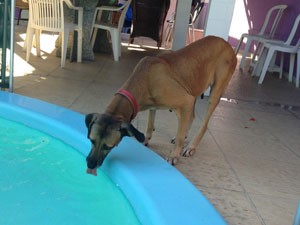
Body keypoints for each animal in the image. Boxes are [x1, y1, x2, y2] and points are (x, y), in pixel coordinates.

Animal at [85, 35, 237, 176]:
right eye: (91, 140)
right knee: (191, 117)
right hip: (191, 88)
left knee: (203, 124)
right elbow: (150, 125)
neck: (143, 79)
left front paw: (174, 155)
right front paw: (145, 139)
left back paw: (191, 146)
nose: (90, 164)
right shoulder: (157, 105)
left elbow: (179, 137)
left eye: (108, 146)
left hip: (214, 93)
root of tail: (226, 44)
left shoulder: (185, 100)